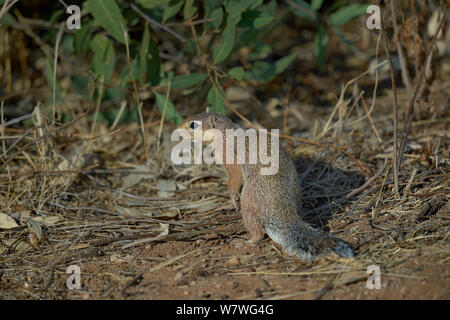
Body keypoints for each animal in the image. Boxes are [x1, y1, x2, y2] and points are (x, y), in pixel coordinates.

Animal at [178, 112, 354, 262]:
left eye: (193, 125)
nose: (178, 130)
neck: (225, 131)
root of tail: (283, 208)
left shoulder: (229, 157)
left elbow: (234, 177)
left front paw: (233, 197)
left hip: (250, 200)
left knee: (258, 230)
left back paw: (248, 241)